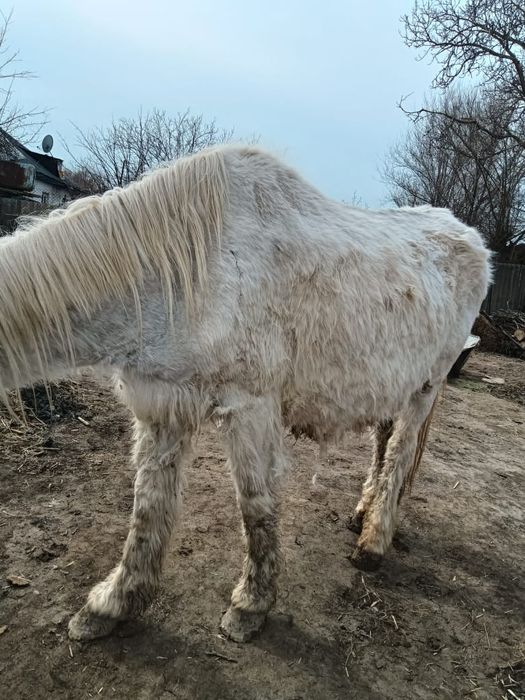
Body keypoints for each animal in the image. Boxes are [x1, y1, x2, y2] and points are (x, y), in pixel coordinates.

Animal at [0, 145, 491, 642]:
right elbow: (148, 505)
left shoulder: (248, 406)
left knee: (400, 455)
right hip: (392, 383)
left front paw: (251, 606)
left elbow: (255, 504)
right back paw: (361, 514)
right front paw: (112, 605)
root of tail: (474, 241)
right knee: (383, 445)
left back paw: (374, 540)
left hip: (427, 387)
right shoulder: (163, 406)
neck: (186, 274)